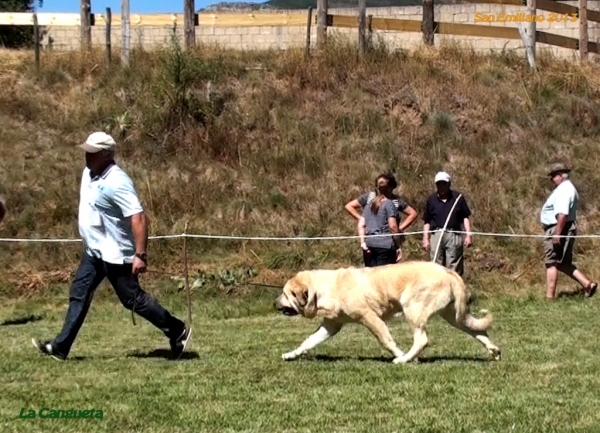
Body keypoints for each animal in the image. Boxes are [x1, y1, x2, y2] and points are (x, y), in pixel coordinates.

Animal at [276, 258, 502, 362]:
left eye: (285, 294)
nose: (274, 304)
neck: (323, 289)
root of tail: (448, 271)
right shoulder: (331, 325)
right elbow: (308, 342)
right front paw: (290, 354)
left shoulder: (370, 317)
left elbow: (386, 341)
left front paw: (400, 354)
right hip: (454, 317)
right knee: (478, 330)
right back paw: (494, 351)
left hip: (412, 309)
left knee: (422, 340)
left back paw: (404, 359)